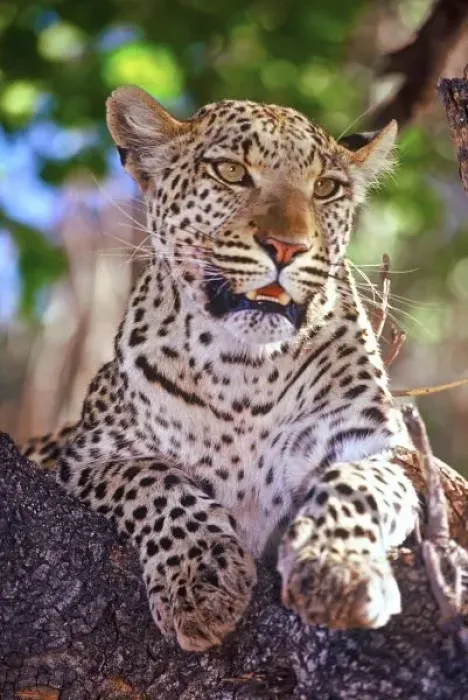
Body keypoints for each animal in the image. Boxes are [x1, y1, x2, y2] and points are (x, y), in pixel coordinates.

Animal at [22, 85, 421, 652]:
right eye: (231, 172)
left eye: (325, 188)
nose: (288, 247)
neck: (246, 371)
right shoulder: (90, 457)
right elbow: (155, 483)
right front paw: (199, 581)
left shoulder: (380, 449)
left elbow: (355, 484)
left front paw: (334, 569)